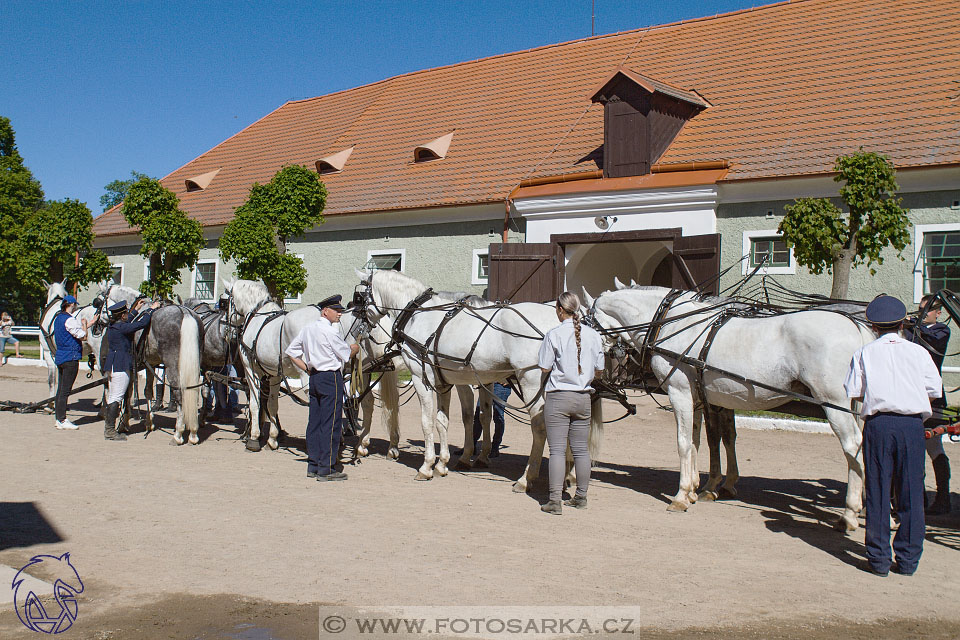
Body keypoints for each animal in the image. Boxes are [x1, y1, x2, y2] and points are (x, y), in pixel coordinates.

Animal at [356, 268, 604, 488]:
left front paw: (427, 466)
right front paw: (442, 464)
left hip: (531, 382)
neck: (420, 314)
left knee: (540, 427)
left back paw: (527, 479)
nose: (359, 325)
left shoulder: (421, 377)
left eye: (358, 296)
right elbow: (444, 421)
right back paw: (568, 476)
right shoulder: (445, 382)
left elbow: (427, 421)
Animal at [580, 284, 872, 528]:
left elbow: (684, 443)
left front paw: (681, 495)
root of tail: (857, 326)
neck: (673, 324)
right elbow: (698, 442)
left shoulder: (680, 393)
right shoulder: (698, 398)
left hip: (833, 401)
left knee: (852, 446)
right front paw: (695, 489)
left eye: (585, 320)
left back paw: (849, 512)